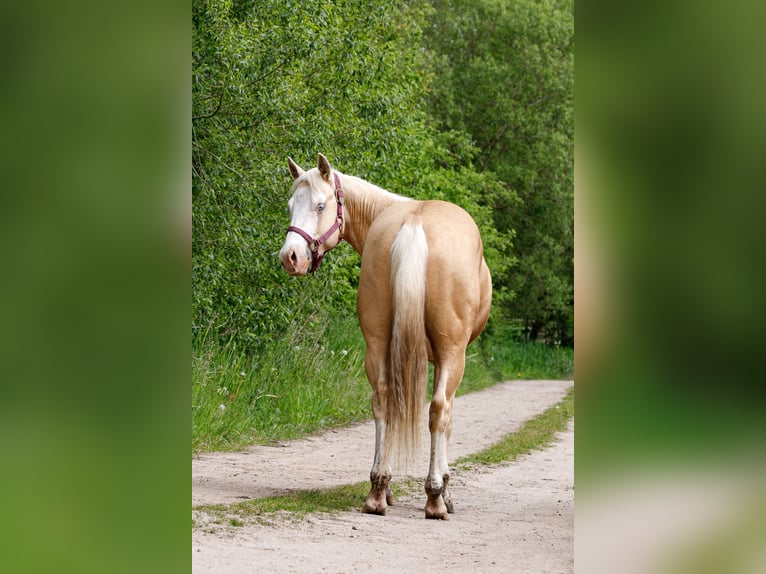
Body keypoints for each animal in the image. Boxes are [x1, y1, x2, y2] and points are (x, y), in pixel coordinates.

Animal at [279, 154, 492, 520]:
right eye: (292, 205)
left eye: (320, 205)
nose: (290, 257)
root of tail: (414, 225)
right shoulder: (451, 356)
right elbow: (447, 419)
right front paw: (446, 490)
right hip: (451, 353)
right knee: (438, 411)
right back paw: (434, 498)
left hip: (377, 344)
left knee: (382, 401)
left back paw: (378, 491)